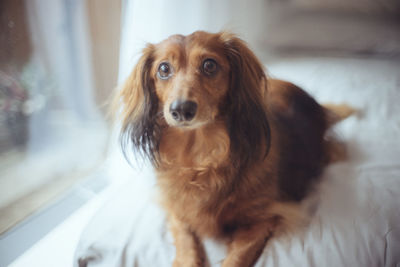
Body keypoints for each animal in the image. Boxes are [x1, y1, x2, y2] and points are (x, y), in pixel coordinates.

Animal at [115, 31, 354, 267]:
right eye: (164, 69)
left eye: (209, 65)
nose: (181, 109)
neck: (200, 158)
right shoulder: (177, 210)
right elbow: (186, 242)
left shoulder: (264, 218)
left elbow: (236, 257)